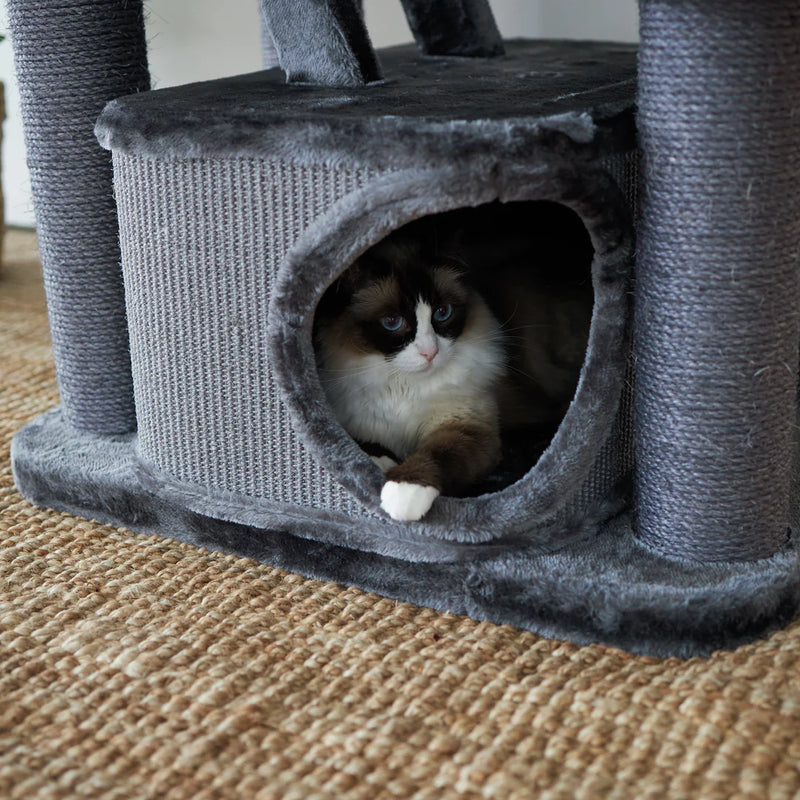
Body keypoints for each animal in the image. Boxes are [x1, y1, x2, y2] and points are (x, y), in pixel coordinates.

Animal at [312, 208, 592, 520]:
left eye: (442, 313)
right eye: (393, 322)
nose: (430, 352)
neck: (403, 384)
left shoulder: (466, 427)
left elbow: (437, 454)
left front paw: (402, 496)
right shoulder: (350, 421)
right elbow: (366, 446)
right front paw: (386, 464)